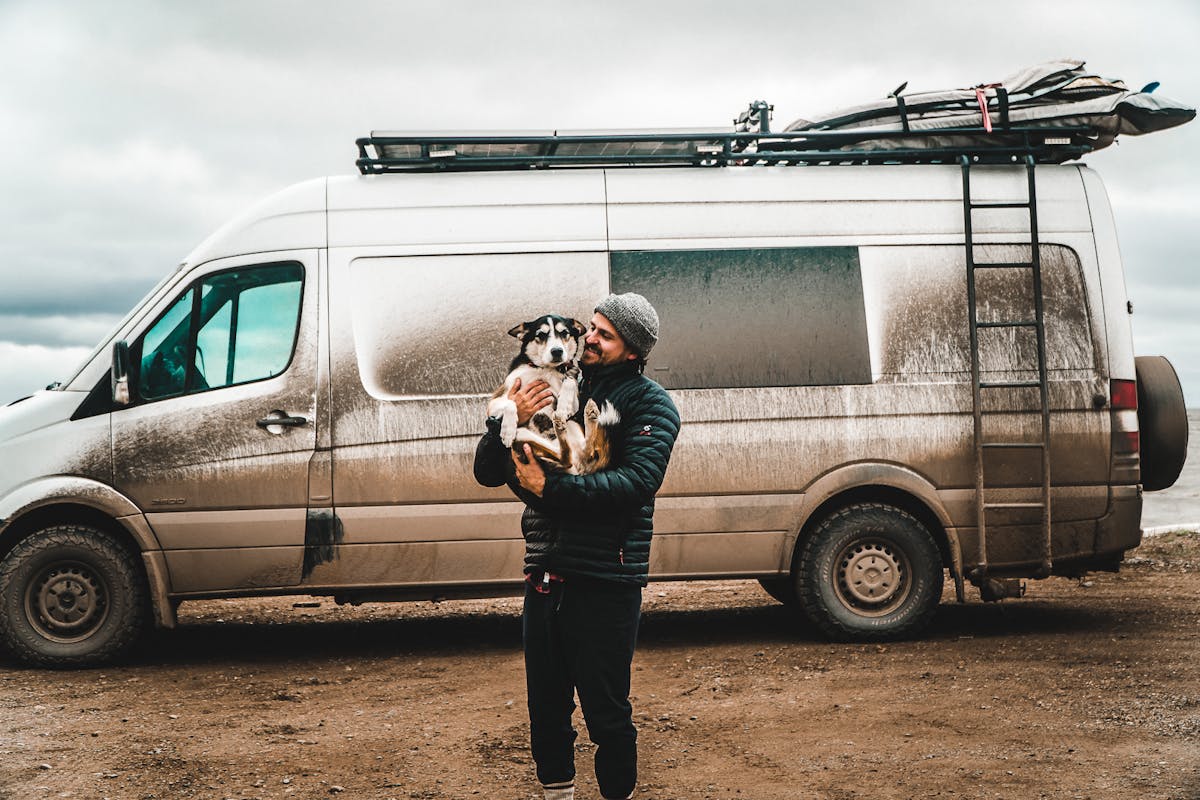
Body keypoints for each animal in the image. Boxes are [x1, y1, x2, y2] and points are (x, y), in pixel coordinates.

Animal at [487, 311, 619, 474]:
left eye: (564, 333)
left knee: (581, 452)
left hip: (573, 424)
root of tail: (579, 467)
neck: (546, 369)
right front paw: (507, 430)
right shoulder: (495, 401)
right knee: (565, 457)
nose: (557, 351)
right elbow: (511, 403)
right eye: (541, 335)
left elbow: (569, 381)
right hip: (522, 436)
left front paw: (563, 404)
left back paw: (586, 415)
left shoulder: (575, 404)